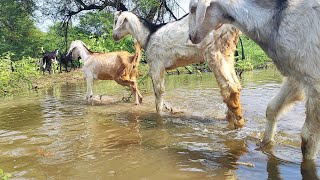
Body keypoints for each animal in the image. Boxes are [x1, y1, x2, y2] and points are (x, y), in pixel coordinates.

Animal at [113, 10, 245, 128]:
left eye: (116, 21)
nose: (113, 36)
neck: (148, 35)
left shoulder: (156, 64)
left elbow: (158, 92)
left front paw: (160, 115)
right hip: (227, 53)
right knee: (236, 85)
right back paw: (230, 117)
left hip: (213, 52)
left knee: (229, 87)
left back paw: (238, 123)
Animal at [188, 0, 320, 160]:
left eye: (193, 8)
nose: (191, 36)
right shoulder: (297, 75)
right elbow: (272, 108)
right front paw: (264, 145)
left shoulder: (314, 81)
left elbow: (308, 138)